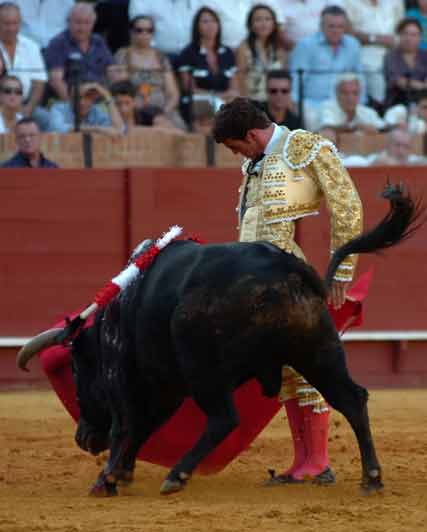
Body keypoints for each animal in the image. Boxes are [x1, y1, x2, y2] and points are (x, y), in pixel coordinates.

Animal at [16, 185, 422, 496]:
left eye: (77, 371)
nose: (82, 438)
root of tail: (285, 267)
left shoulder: (124, 375)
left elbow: (127, 425)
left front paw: (108, 479)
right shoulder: (166, 385)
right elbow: (146, 425)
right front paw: (123, 473)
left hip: (204, 364)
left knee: (224, 417)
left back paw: (176, 475)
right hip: (317, 349)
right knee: (350, 399)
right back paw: (371, 478)